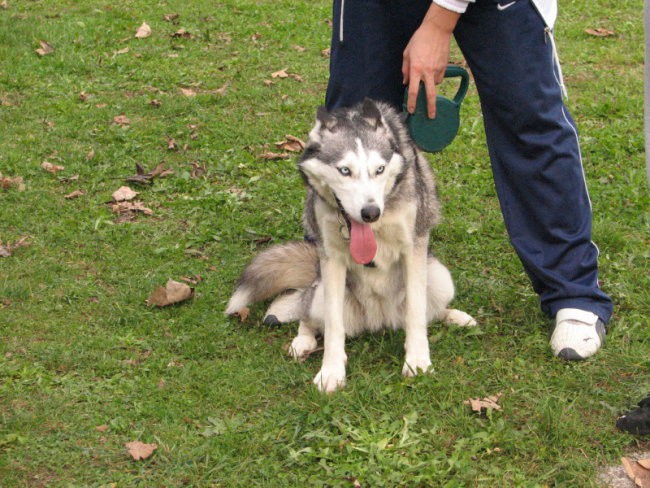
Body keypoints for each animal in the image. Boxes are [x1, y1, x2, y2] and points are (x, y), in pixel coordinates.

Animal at [225, 99, 474, 392]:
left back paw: (454, 316)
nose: (370, 213)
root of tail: (380, 320)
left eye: (379, 170)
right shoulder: (332, 258)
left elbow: (416, 312)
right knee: (309, 316)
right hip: (321, 292)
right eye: (345, 171)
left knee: (426, 312)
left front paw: (418, 361)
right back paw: (303, 341)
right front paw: (331, 372)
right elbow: (334, 327)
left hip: (440, 277)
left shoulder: (414, 248)